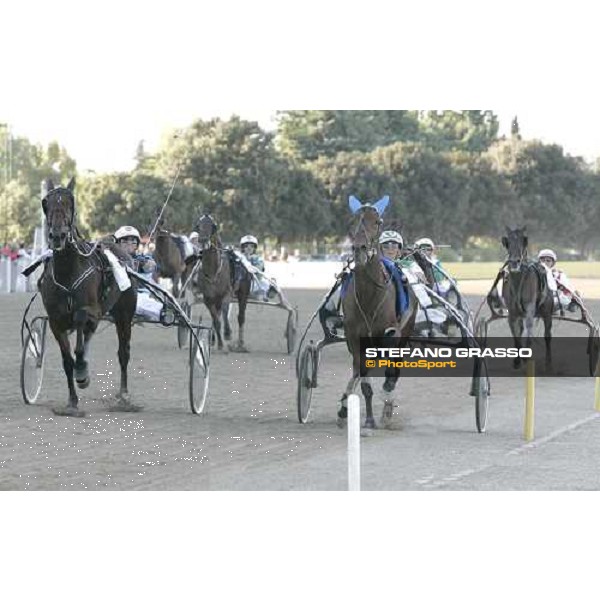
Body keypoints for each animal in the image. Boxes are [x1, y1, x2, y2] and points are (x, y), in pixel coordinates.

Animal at [39, 176, 137, 414]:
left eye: (70, 202)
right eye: (46, 202)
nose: (58, 235)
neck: (67, 270)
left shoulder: (91, 310)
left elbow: (81, 328)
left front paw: (82, 372)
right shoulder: (55, 321)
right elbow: (67, 360)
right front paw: (72, 401)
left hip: (124, 315)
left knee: (123, 353)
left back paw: (124, 395)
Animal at [338, 197, 418, 432]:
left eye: (378, 221)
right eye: (352, 221)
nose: (360, 248)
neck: (369, 297)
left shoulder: (391, 334)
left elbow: (389, 365)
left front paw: (383, 405)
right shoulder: (355, 337)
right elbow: (363, 378)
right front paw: (367, 418)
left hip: (406, 329)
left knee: (394, 365)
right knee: (359, 370)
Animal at [502, 226, 552, 370]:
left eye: (523, 241)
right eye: (508, 242)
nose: (514, 262)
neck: (518, 281)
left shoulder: (530, 308)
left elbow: (529, 329)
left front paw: (525, 356)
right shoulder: (512, 312)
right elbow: (516, 334)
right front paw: (517, 360)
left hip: (547, 311)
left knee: (547, 335)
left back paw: (548, 362)